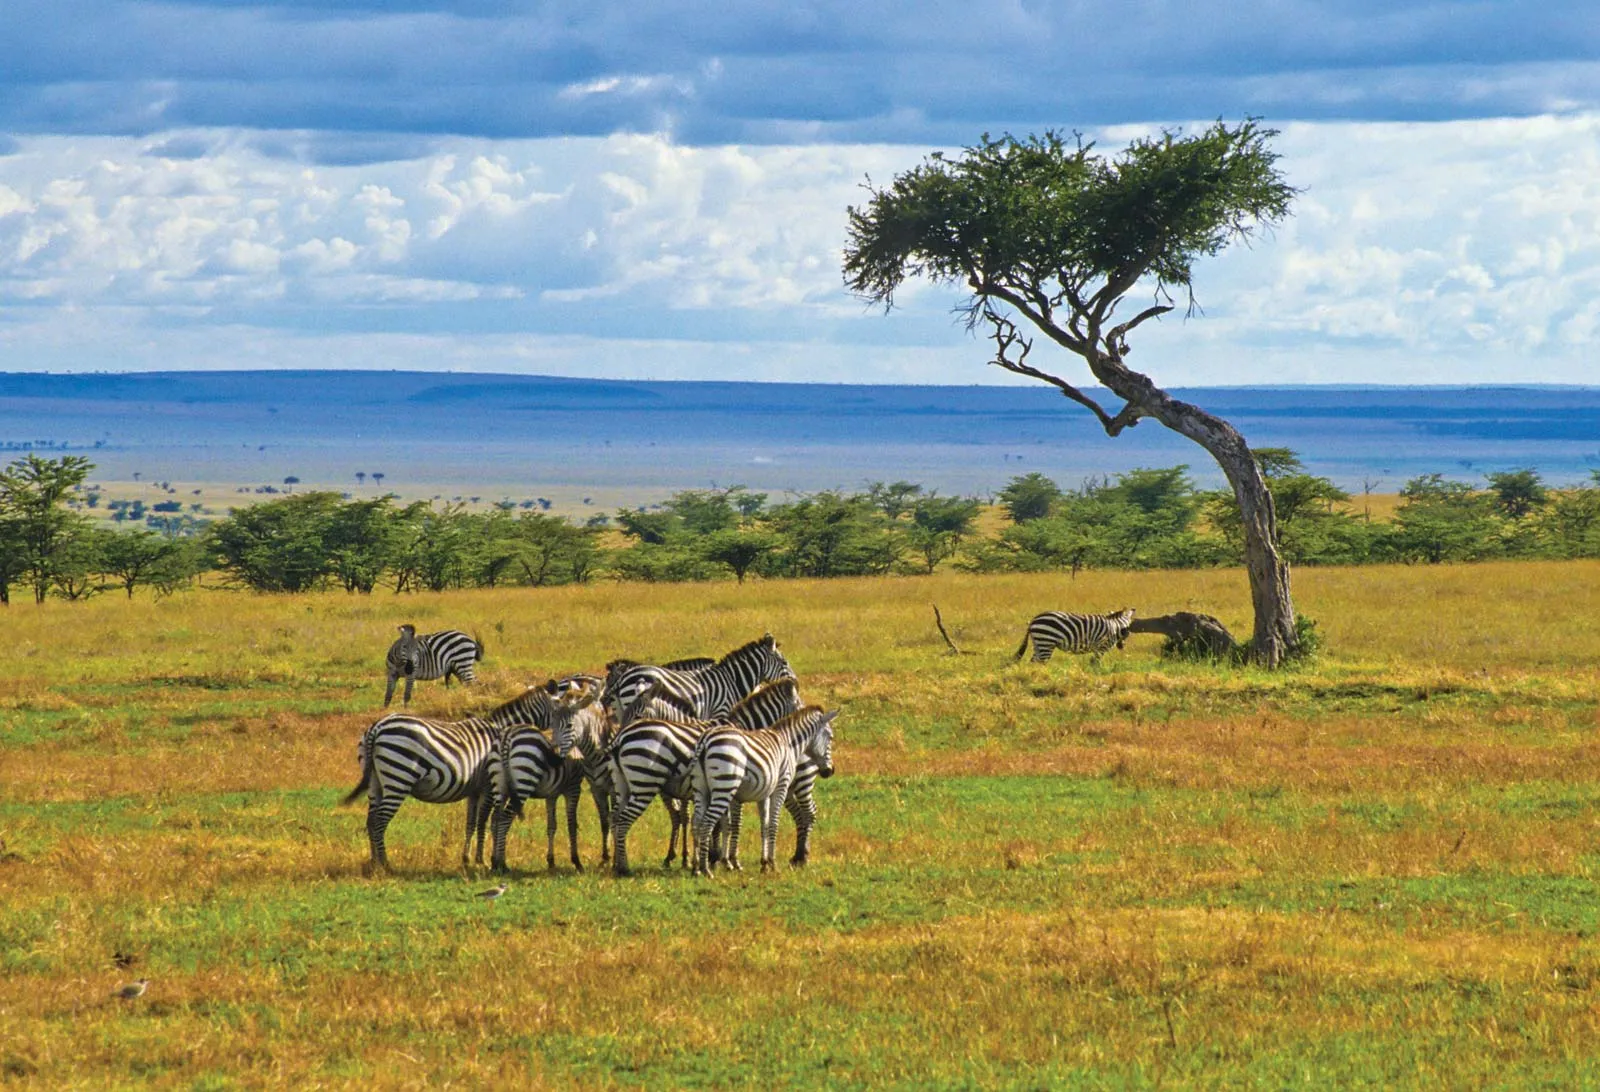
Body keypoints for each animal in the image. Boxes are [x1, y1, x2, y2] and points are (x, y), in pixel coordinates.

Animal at [340, 678, 579, 864]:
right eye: (562, 712)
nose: (556, 752)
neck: (499, 731)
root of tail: (377, 727)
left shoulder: (474, 790)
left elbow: (470, 824)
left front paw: (466, 858)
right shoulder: (488, 786)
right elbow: (484, 822)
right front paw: (481, 860)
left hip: (375, 783)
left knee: (371, 820)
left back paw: (374, 862)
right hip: (399, 777)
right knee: (380, 821)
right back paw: (386, 863)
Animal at [688, 704, 838, 877]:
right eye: (831, 737)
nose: (830, 771)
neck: (789, 743)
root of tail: (705, 739)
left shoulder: (764, 793)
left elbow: (764, 825)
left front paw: (764, 863)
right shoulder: (781, 787)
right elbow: (773, 824)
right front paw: (772, 863)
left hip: (701, 788)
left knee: (696, 822)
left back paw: (696, 868)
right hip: (724, 787)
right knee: (707, 823)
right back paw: (705, 869)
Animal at [1011, 605, 1139, 662]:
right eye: (1129, 630)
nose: (1121, 646)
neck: (1115, 627)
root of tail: (1034, 620)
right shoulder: (1101, 647)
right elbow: (1096, 662)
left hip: (1038, 643)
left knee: (1034, 661)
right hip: (1046, 642)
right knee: (1041, 661)